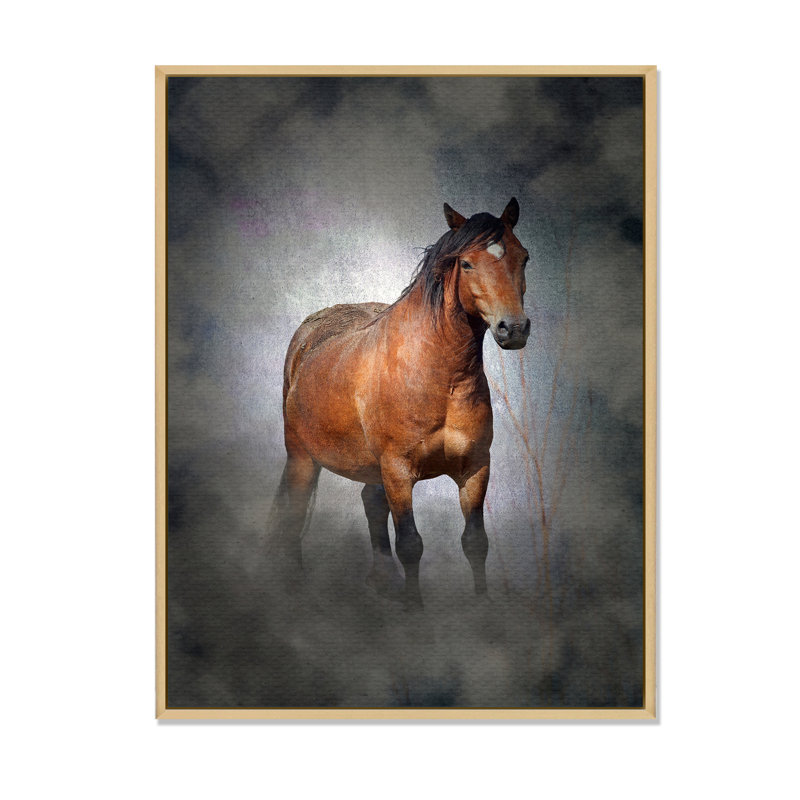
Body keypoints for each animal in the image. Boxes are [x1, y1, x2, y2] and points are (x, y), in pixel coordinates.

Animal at [273, 198, 530, 606]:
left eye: (523, 258)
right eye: (467, 263)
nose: (514, 328)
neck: (439, 379)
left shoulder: (475, 468)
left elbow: (475, 541)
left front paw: (481, 606)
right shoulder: (397, 471)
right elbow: (410, 543)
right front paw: (414, 610)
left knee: (370, 502)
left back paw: (382, 581)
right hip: (302, 459)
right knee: (294, 514)